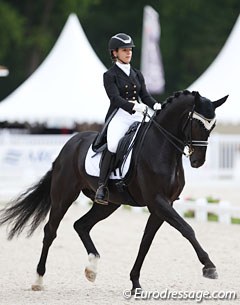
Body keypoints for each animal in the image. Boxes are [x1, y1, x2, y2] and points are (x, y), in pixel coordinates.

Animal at [0, 90, 227, 292]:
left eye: (213, 125)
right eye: (197, 123)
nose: (198, 161)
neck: (162, 147)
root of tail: (70, 144)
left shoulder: (161, 205)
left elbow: (146, 241)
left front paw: (135, 283)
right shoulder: (157, 201)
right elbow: (187, 229)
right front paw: (209, 267)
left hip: (108, 204)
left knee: (81, 225)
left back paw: (92, 269)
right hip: (63, 196)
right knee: (50, 231)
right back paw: (38, 280)